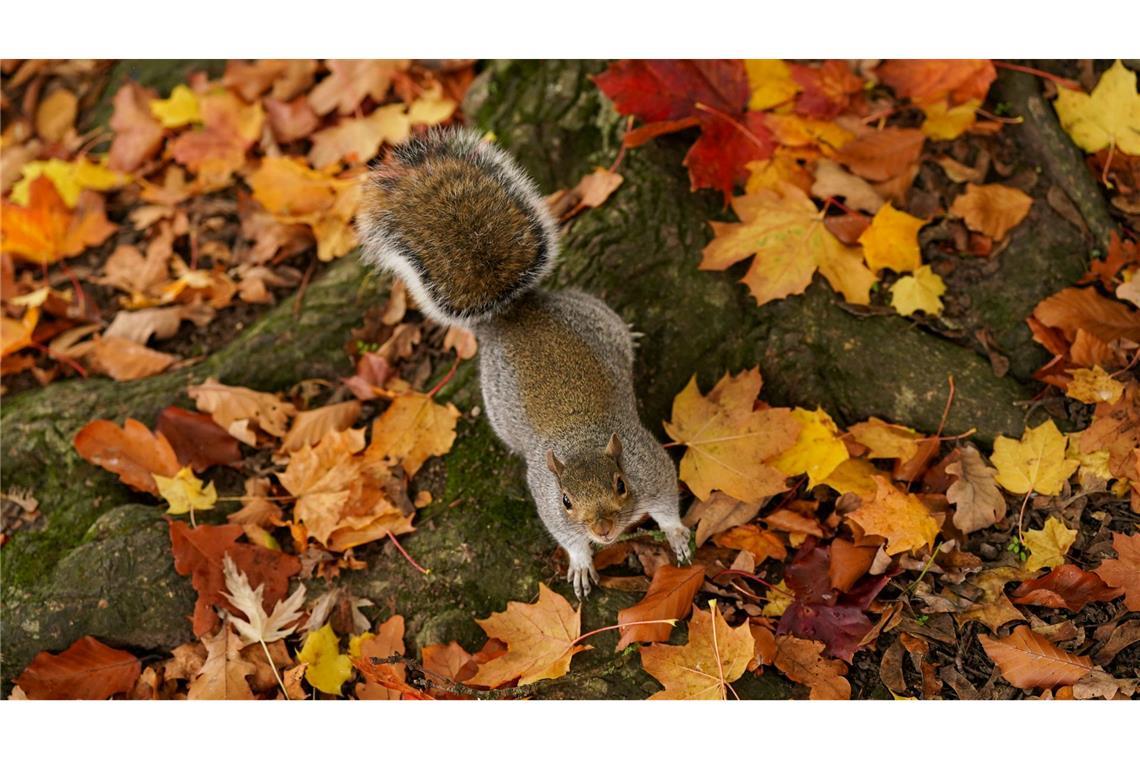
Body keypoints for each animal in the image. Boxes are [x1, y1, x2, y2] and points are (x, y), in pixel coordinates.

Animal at [360, 127, 688, 597]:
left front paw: (676, 534)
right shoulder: (546, 499)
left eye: (621, 484)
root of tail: (515, 312)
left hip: (595, 315)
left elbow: (665, 503)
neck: (582, 440)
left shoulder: (649, 465)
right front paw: (581, 562)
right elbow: (567, 537)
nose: (604, 530)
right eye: (566, 500)